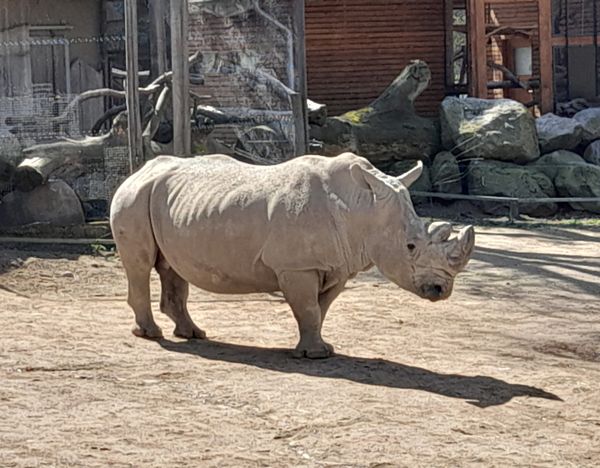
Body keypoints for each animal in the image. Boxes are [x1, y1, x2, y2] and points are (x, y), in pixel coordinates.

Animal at [110, 154, 472, 358]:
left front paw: (319, 349)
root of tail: (137, 171)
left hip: (165, 200)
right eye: (410, 246)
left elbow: (319, 310)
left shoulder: (337, 265)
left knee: (172, 267)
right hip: (133, 198)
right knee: (140, 265)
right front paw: (316, 356)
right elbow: (308, 308)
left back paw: (193, 334)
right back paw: (151, 335)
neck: (361, 208)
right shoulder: (297, 266)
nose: (441, 290)